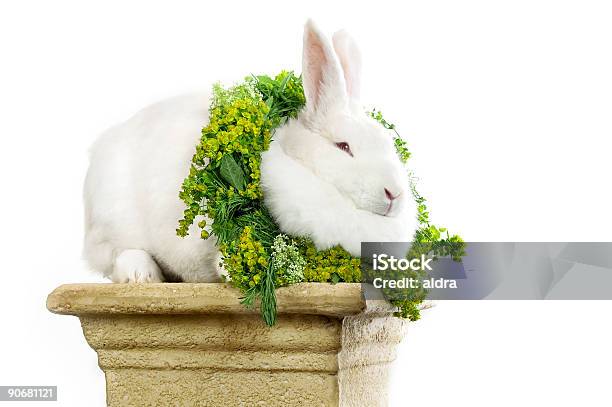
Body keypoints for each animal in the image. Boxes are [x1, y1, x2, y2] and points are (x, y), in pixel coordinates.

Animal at [82, 19, 416, 284]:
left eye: (387, 144)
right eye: (344, 147)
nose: (394, 194)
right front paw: (229, 268)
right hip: (113, 217)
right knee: (115, 256)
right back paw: (142, 275)